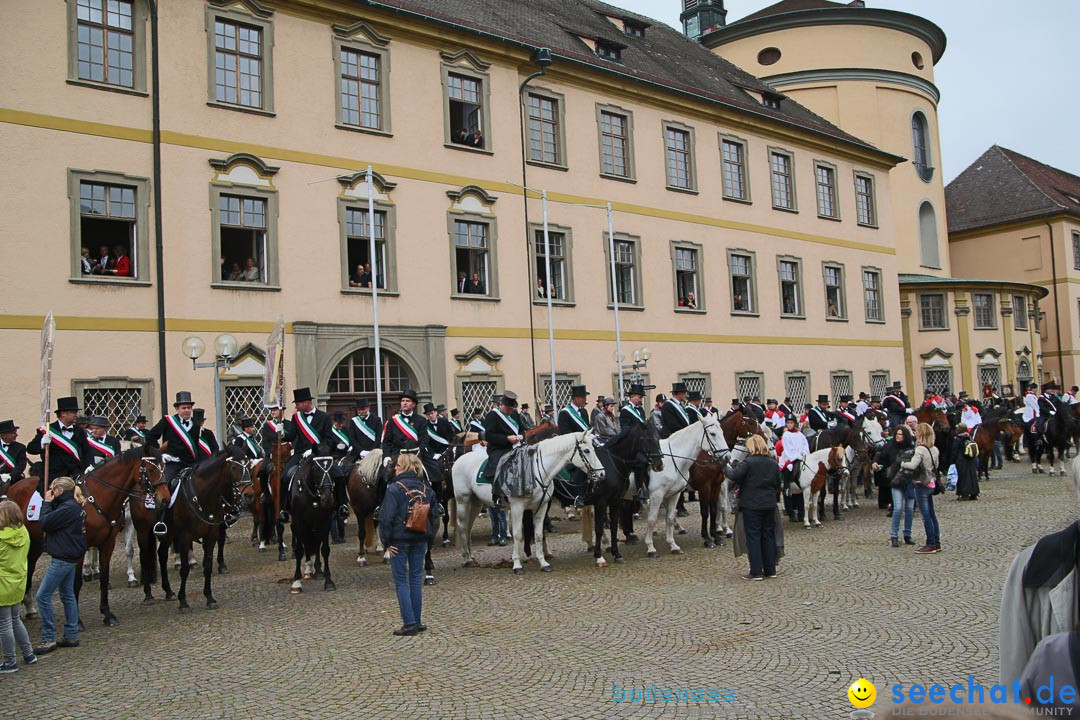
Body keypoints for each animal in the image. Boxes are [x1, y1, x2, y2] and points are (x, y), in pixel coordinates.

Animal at [5, 446, 168, 626]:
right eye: (152, 470)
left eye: (164, 467)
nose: (165, 499)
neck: (98, 497)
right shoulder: (79, 545)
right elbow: (76, 582)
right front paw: (77, 621)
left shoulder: (108, 543)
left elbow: (104, 576)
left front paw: (107, 613)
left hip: (35, 544)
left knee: (29, 568)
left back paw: (29, 607)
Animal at [453, 427, 609, 574]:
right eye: (587, 450)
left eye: (594, 448)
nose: (602, 474)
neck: (535, 470)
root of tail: (459, 459)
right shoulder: (517, 507)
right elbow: (517, 534)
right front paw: (517, 565)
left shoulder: (541, 506)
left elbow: (539, 534)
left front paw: (543, 562)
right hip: (463, 500)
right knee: (462, 525)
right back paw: (466, 558)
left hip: (475, 503)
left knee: (468, 526)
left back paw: (471, 555)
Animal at [643, 414, 730, 561]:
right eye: (712, 434)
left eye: (723, 433)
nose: (728, 457)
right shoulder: (658, 493)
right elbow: (652, 519)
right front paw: (650, 548)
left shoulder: (713, 486)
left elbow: (670, 517)